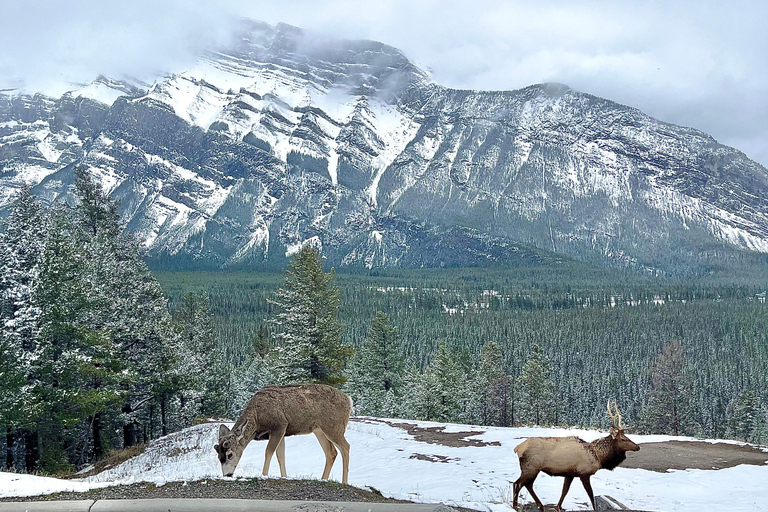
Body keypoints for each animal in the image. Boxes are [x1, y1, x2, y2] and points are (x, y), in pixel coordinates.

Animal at [212, 384, 352, 484]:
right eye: (219, 456)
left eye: (230, 454)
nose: (227, 475)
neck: (257, 420)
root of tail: (348, 400)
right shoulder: (281, 433)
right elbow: (281, 456)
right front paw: (285, 477)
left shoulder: (279, 426)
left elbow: (269, 452)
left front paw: (264, 475)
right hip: (319, 430)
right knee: (331, 452)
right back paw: (323, 479)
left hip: (334, 427)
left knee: (346, 447)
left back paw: (344, 482)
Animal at [512, 402, 640, 510]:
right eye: (623, 439)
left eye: (627, 437)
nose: (637, 447)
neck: (598, 457)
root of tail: (517, 448)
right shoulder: (584, 473)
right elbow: (591, 494)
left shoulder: (570, 474)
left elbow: (564, 491)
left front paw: (558, 507)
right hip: (530, 468)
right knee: (517, 484)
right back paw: (515, 506)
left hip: (533, 469)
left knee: (528, 485)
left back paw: (540, 505)